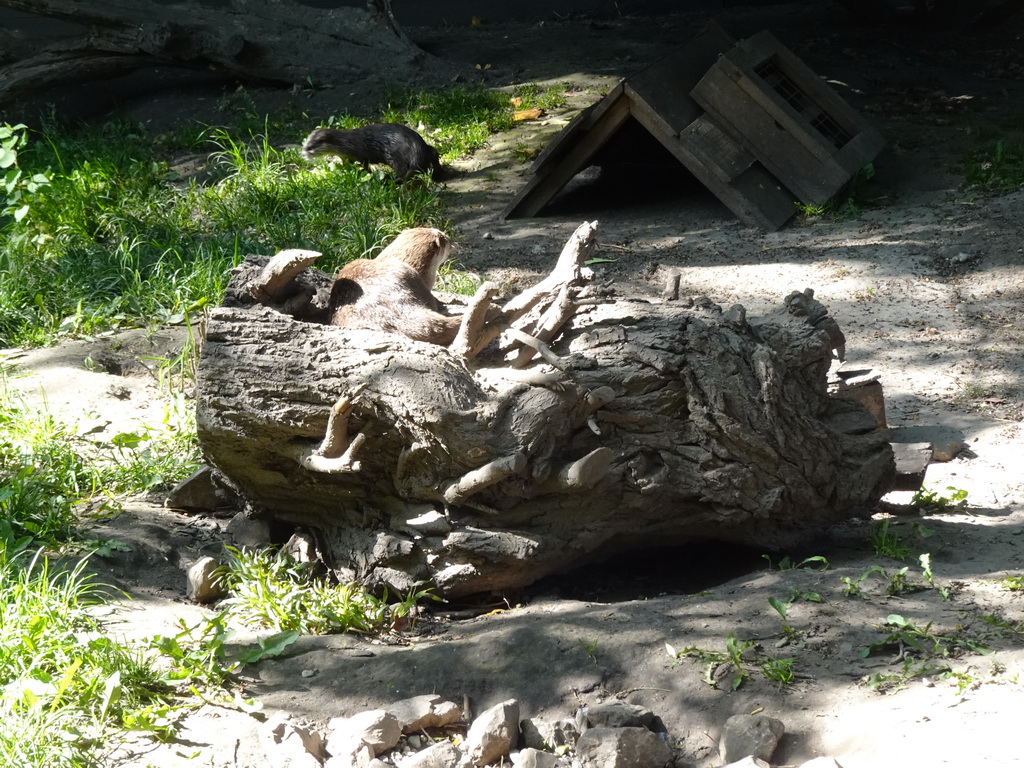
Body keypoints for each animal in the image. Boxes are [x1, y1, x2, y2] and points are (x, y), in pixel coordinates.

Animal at [299, 125, 438, 181]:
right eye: (304, 144)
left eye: (310, 147)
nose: (302, 154)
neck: (345, 143)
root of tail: (416, 148)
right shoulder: (345, 156)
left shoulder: (360, 154)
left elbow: (365, 165)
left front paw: (363, 172)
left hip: (395, 156)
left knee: (403, 171)